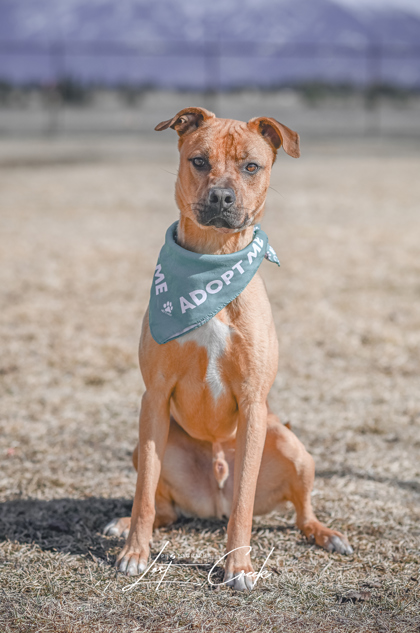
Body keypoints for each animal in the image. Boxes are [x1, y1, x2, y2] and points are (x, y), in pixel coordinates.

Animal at [104, 107, 352, 588]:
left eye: (251, 167)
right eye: (199, 161)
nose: (221, 196)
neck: (213, 262)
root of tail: (211, 499)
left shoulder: (254, 404)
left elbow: (244, 501)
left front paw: (238, 565)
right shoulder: (154, 397)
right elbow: (143, 495)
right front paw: (135, 553)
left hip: (292, 445)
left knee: (299, 513)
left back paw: (326, 534)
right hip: (149, 442)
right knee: (163, 507)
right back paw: (123, 526)